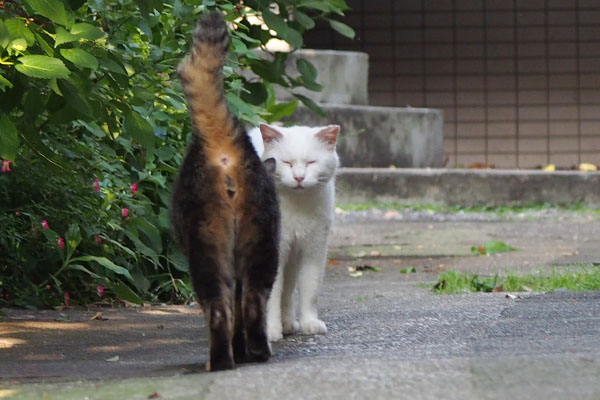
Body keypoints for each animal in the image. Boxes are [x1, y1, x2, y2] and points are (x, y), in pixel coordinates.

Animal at [170, 13, 280, 372]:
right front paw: (242, 350)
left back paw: (227, 360)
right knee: (245, 303)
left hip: (209, 243)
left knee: (227, 307)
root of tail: (220, 143)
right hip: (255, 238)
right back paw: (245, 355)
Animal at [248, 124, 340, 340]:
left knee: (288, 291)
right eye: (287, 163)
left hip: (292, 259)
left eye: (311, 162)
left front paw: (310, 323)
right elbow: (272, 295)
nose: (299, 177)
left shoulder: (314, 249)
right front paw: (271, 331)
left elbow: (310, 290)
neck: (297, 204)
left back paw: (289, 324)